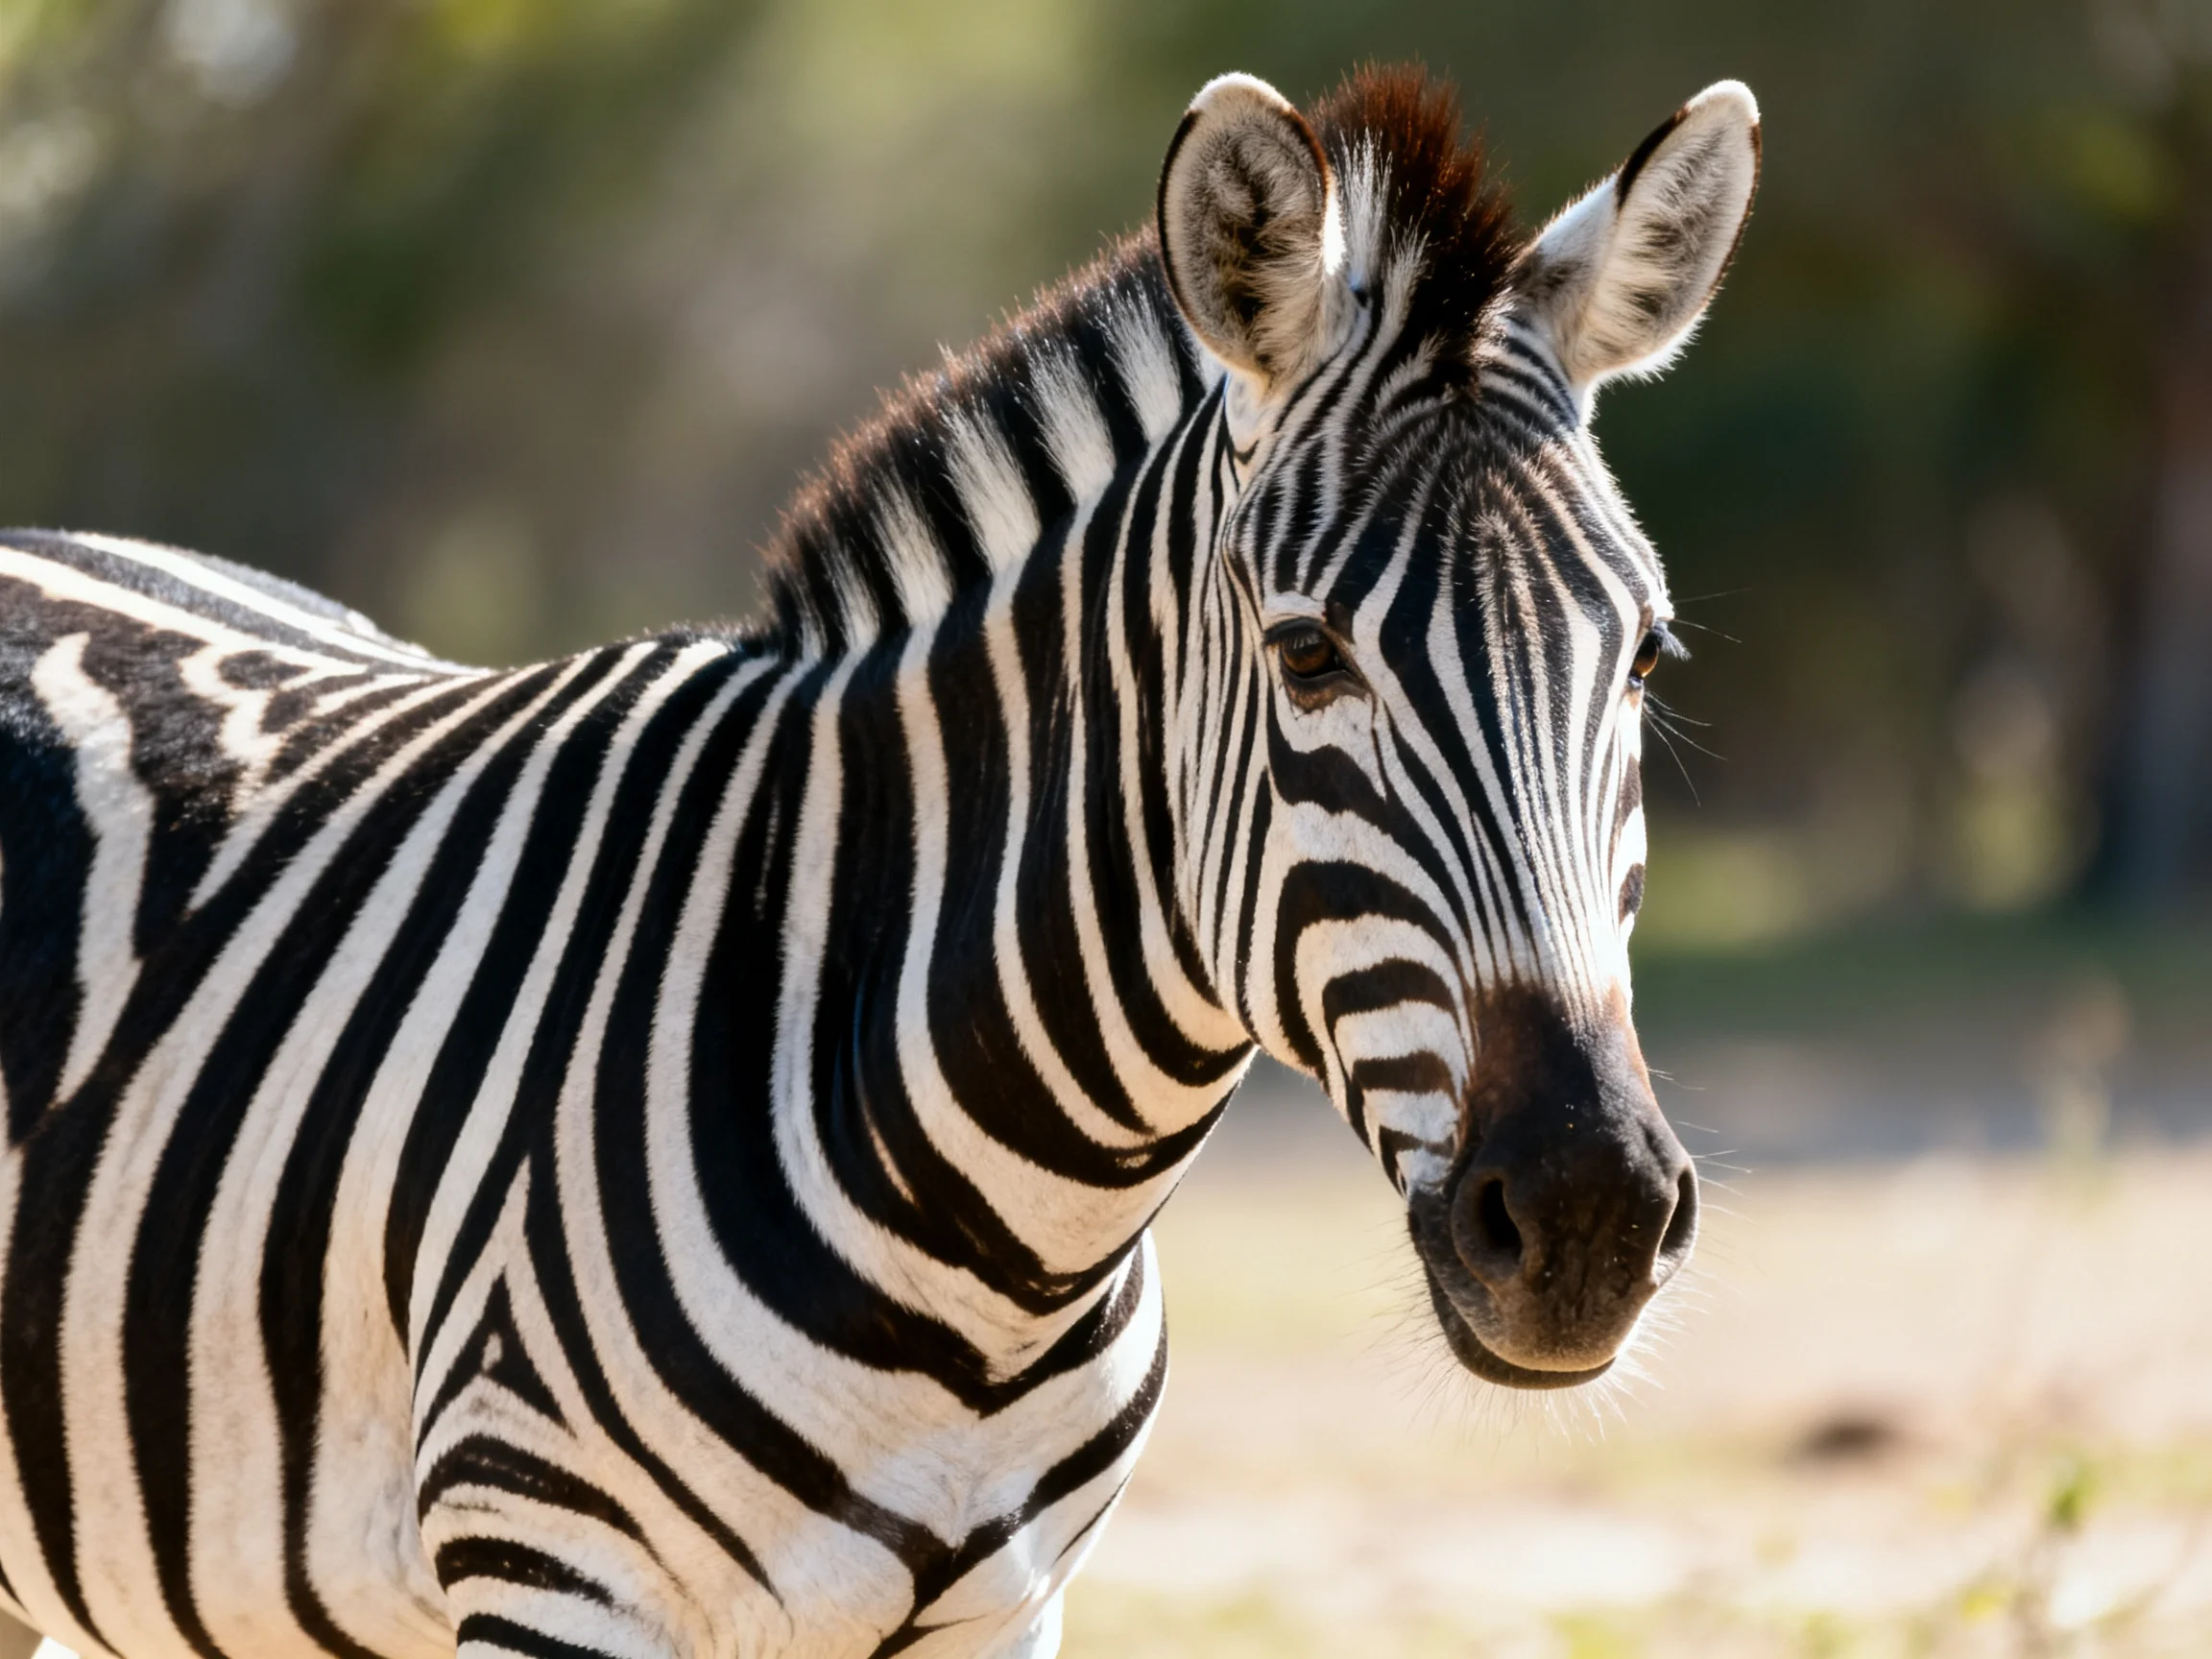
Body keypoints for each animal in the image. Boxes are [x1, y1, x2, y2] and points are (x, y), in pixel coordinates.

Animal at [0, 64, 1759, 1659]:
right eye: (1309, 656)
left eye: (1646, 660)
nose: (1587, 1219)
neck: (999, 1240)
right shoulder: (553, 1570)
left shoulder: (1009, 1610)